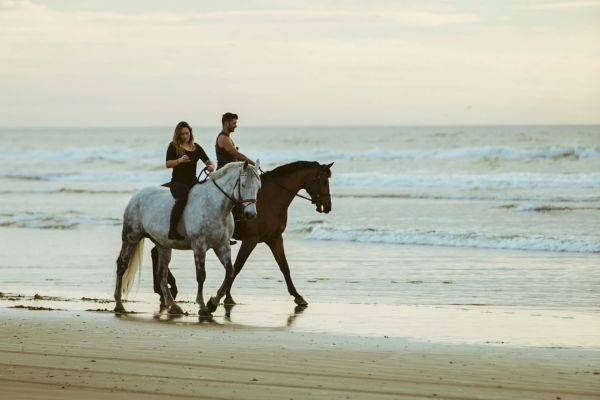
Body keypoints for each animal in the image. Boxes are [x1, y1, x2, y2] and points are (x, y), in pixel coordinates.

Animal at [113, 160, 262, 316]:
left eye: (258, 187)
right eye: (243, 184)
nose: (251, 214)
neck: (215, 205)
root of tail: (136, 196)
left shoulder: (222, 246)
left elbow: (229, 272)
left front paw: (212, 303)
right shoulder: (199, 246)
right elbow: (201, 275)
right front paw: (203, 306)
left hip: (163, 245)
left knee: (162, 274)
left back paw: (173, 306)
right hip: (131, 237)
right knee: (122, 265)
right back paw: (119, 304)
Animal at [149, 161, 332, 308]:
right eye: (323, 181)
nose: (328, 206)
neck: (272, 199)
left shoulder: (274, 238)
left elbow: (284, 267)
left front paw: (298, 296)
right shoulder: (251, 239)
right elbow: (237, 267)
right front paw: (225, 297)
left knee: (155, 253)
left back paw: (164, 290)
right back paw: (166, 289)